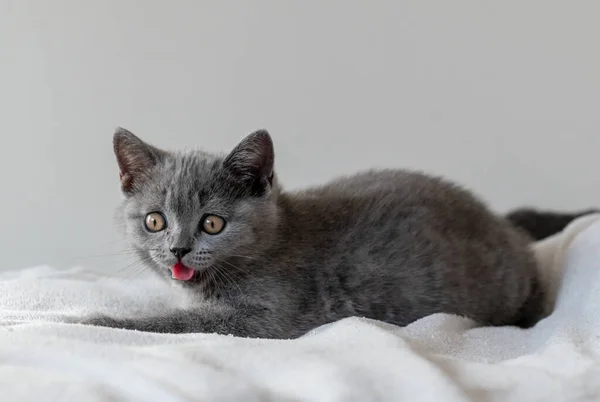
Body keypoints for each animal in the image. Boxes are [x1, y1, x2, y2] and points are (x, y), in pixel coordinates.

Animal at [84, 127, 548, 338]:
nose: (179, 249)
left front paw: (92, 319)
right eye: (155, 221)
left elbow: (177, 322)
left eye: (212, 223)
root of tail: (506, 229)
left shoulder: (267, 317)